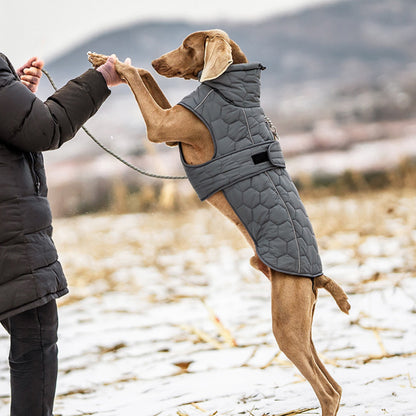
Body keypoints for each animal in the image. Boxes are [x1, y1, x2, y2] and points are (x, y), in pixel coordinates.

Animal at [88, 29, 352, 416]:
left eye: (187, 46)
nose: (156, 60)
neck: (231, 90)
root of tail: (316, 276)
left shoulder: (161, 126)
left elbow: (138, 80)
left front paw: (117, 65)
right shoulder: (171, 125)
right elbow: (148, 80)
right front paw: (107, 60)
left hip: (286, 323)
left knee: (327, 389)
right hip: (303, 324)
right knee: (332, 381)